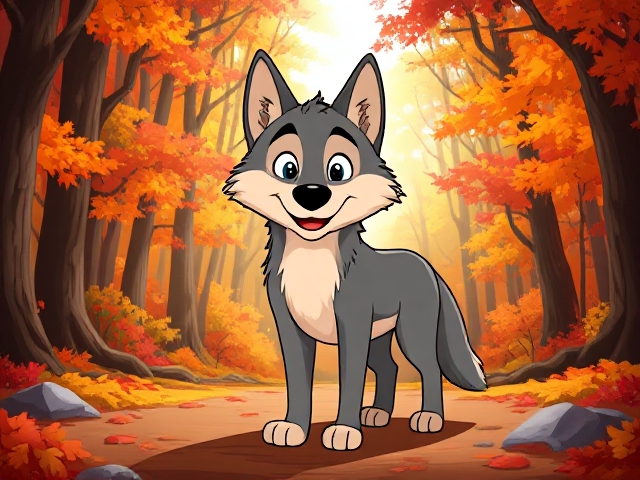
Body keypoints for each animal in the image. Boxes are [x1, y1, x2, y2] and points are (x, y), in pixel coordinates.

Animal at [224, 49, 487, 451]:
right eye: (287, 168)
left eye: (338, 169)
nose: (311, 195)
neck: (311, 265)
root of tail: (426, 265)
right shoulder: (291, 327)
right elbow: (298, 384)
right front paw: (293, 428)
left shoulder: (354, 324)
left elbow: (349, 383)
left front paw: (344, 431)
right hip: (380, 339)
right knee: (389, 368)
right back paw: (378, 414)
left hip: (411, 332)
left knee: (428, 368)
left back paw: (429, 418)